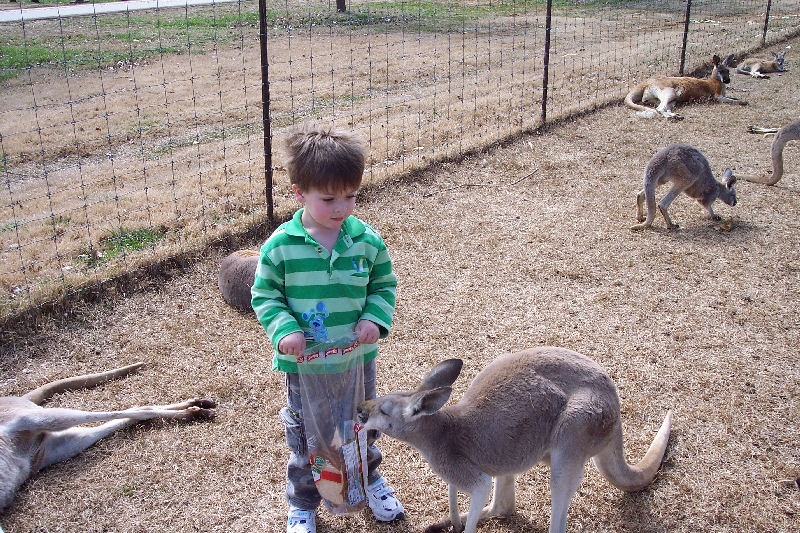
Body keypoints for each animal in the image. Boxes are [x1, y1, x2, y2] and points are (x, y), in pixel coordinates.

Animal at [0, 362, 216, 513]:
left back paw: (198, 407)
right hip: (54, 449)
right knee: (134, 413)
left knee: (138, 409)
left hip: (36, 420)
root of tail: (17, 399)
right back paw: (195, 409)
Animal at [357, 347, 673, 533]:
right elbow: (455, 492)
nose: (360, 408)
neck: (442, 428)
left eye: (384, 411)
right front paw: (455, 519)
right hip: (511, 446)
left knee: (556, 512)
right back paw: (444, 523)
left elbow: (479, 487)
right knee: (503, 507)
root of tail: (615, 406)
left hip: (576, 430)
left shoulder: (464, 469)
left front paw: (462, 525)